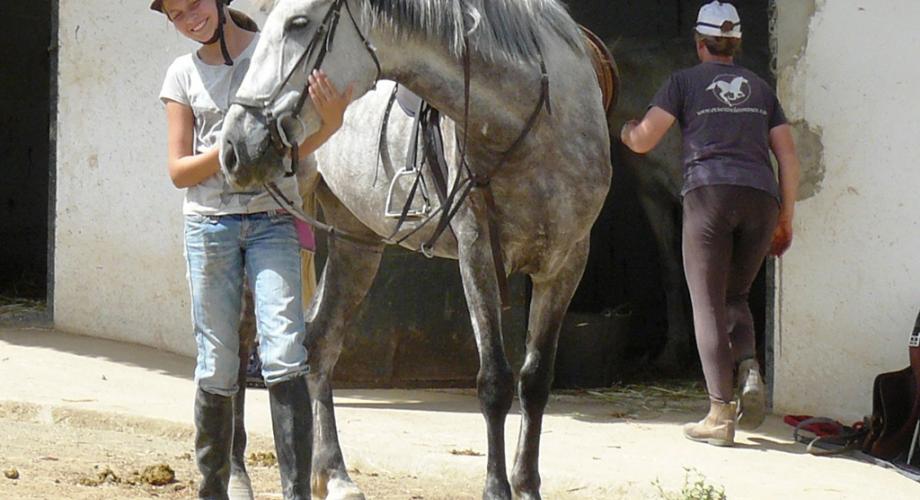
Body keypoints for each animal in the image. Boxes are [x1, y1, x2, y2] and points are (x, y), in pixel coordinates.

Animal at [221, 1, 612, 498]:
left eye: (299, 23)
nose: (235, 146)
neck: (532, 121)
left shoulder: (566, 264)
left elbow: (535, 380)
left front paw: (526, 486)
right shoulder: (477, 254)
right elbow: (495, 382)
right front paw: (497, 488)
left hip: (357, 244)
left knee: (321, 343)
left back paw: (335, 474)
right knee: (240, 343)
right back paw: (236, 474)